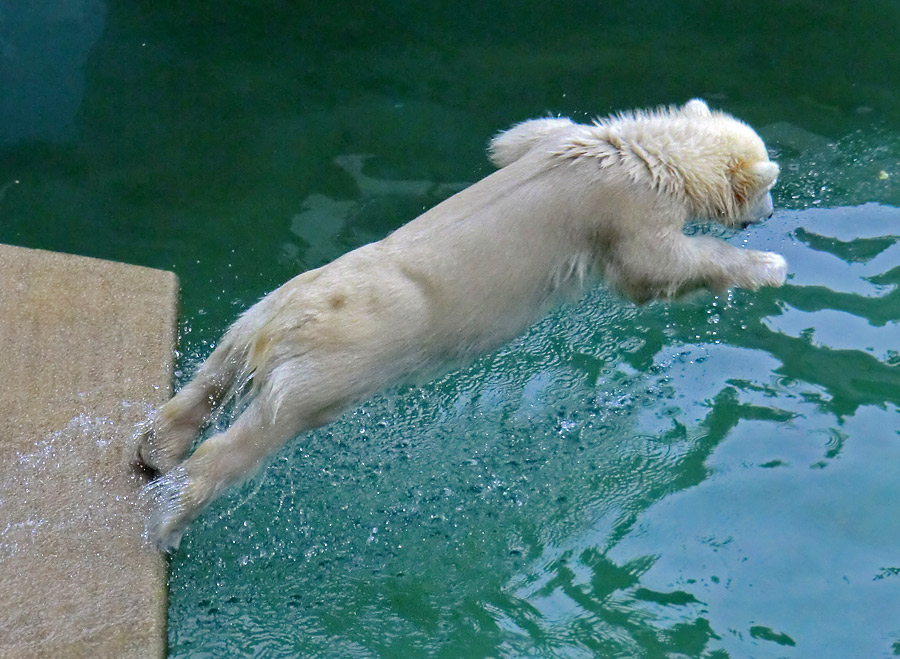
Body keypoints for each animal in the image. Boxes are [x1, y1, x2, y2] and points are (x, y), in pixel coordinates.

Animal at [137, 98, 784, 552]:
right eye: (768, 191)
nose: (770, 212)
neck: (640, 156)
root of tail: (290, 321)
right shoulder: (627, 211)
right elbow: (656, 269)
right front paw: (768, 266)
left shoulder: (560, 138)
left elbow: (517, 137)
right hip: (334, 360)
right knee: (264, 429)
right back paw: (170, 516)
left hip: (264, 307)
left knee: (217, 370)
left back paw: (155, 449)